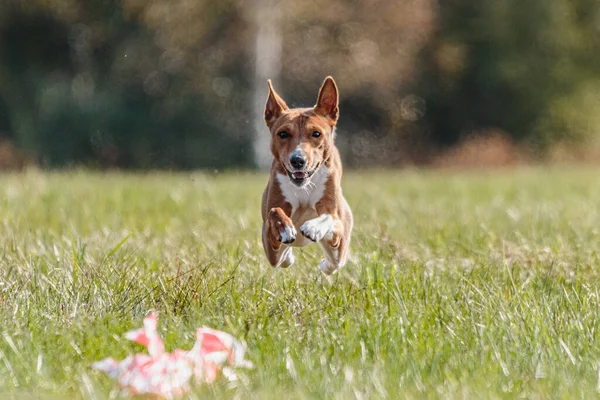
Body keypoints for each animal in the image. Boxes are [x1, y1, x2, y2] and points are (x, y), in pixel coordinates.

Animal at [260, 76, 354, 274]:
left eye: (316, 133)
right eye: (283, 133)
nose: (297, 160)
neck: (304, 187)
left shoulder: (336, 221)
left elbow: (329, 217)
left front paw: (313, 227)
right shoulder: (269, 241)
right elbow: (274, 211)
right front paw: (285, 228)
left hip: (340, 246)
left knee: (334, 263)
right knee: (284, 258)